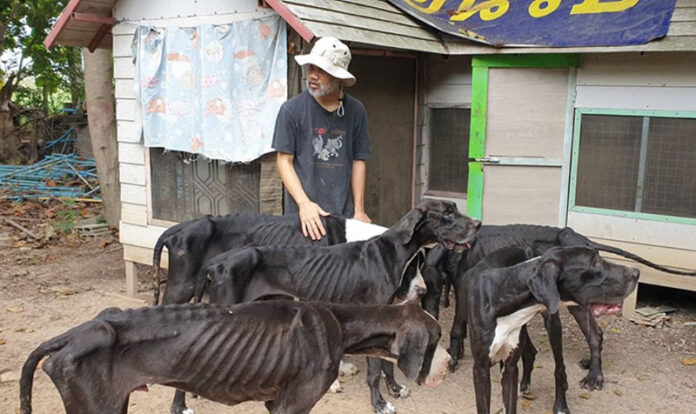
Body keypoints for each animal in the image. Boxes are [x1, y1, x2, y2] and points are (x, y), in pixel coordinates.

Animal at [20, 300, 452, 414]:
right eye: (435, 339)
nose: (449, 364)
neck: (340, 322)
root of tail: (77, 333)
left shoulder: (274, 402)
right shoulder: (292, 407)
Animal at [193, 199, 482, 412]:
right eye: (447, 213)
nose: (478, 224)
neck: (392, 251)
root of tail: (216, 262)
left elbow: (387, 364)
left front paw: (395, 388)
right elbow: (374, 370)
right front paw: (379, 404)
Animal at [462, 247, 636, 412]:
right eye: (594, 263)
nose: (636, 273)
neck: (501, 294)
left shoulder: (510, 367)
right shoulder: (481, 369)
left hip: (553, 324)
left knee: (560, 368)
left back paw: (561, 404)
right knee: (531, 352)